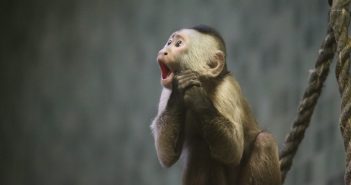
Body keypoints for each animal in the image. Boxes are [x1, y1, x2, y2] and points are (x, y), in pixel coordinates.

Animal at [150, 24, 282, 185]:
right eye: (169, 43)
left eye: (178, 44)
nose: (164, 51)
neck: (206, 83)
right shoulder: (166, 93)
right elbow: (166, 155)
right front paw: (179, 92)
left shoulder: (228, 88)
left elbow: (233, 150)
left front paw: (198, 98)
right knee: (199, 147)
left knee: (265, 141)